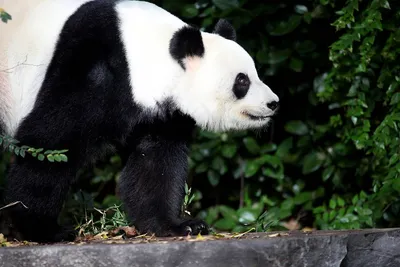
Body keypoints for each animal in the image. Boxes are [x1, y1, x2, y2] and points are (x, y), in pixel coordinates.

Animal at [0, 0, 280, 243]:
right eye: (242, 81)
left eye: (254, 73)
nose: (273, 103)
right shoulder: (90, 63)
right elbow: (52, 139)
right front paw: (41, 228)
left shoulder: (160, 115)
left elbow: (155, 164)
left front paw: (177, 225)